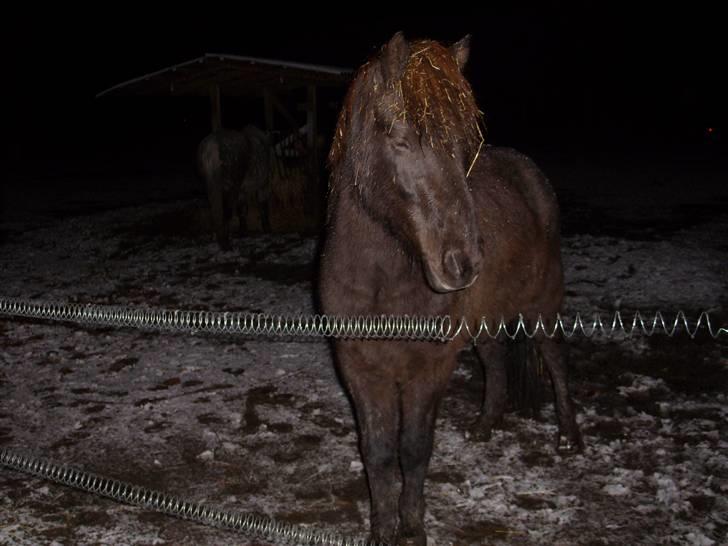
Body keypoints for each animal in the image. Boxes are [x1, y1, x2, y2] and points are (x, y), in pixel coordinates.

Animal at [322, 31, 584, 540]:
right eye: (401, 138)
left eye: (466, 146)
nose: (463, 263)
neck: (385, 287)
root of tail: (530, 173)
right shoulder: (359, 369)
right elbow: (377, 454)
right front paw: (381, 530)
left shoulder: (429, 370)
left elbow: (413, 449)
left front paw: (412, 528)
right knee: (496, 360)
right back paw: (485, 424)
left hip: (542, 305)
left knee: (556, 360)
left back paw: (568, 437)